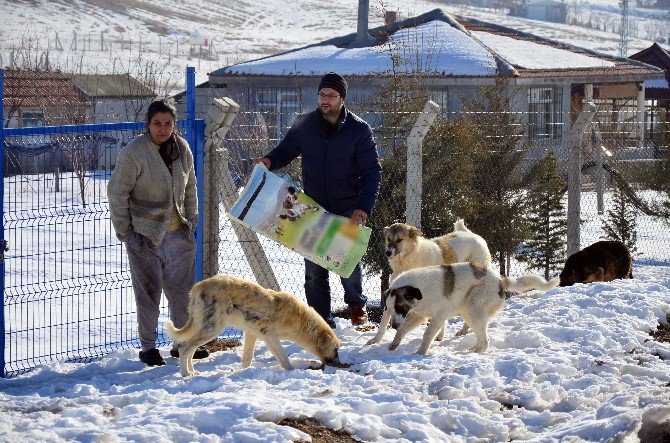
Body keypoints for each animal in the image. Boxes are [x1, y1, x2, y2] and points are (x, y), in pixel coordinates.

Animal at [165, 276, 338, 376]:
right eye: (336, 350)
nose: (338, 364)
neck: (300, 319)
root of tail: (197, 287)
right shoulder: (270, 337)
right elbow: (284, 359)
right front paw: (292, 372)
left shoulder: (251, 333)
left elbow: (247, 359)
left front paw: (242, 371)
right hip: (212, 329)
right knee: (184, 349)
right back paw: (186, 374)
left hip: (205, 328)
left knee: (190, 349)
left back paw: (192, 371)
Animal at [368, 264, 560, 358]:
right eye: (389, 309)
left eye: (400, 307)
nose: (393, 325)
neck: (420, 290)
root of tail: (500, 279)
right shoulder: (418, 315)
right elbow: (403, 330)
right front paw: (394, 344)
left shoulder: (438, 317)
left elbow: (427, 334)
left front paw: (420, 353)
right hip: (469, 313)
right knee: (480, 337)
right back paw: (471, 349)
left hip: (475, 308)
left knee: (485, 341)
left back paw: (475, 353)